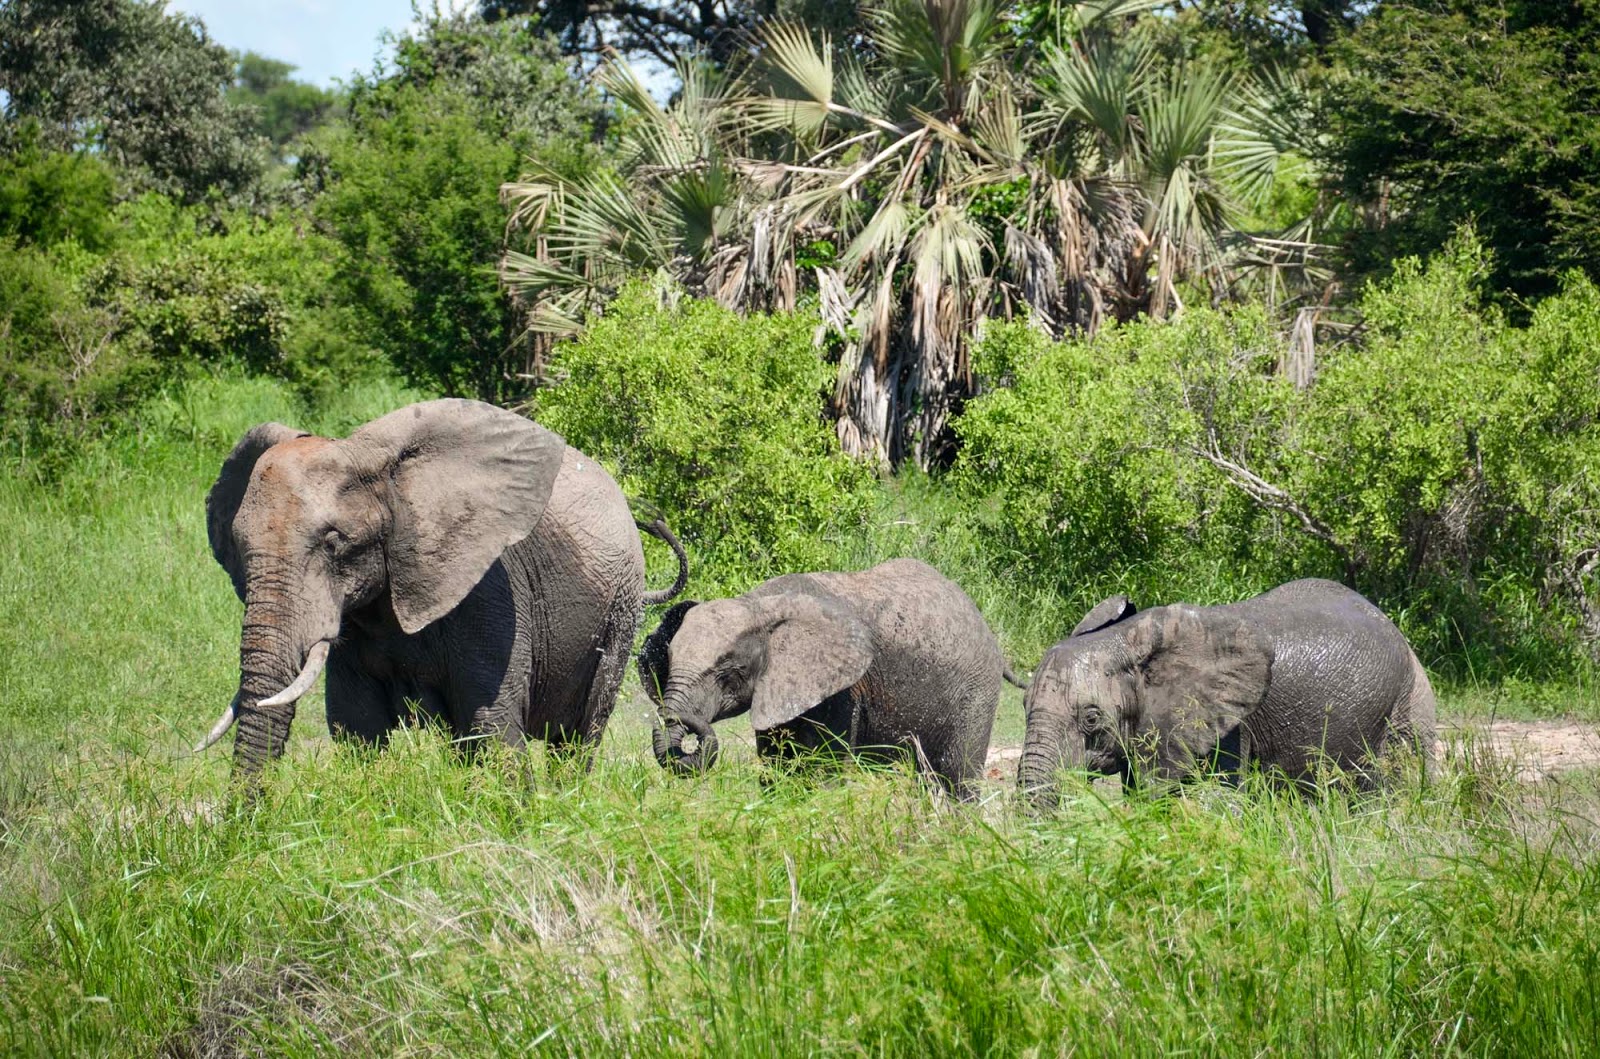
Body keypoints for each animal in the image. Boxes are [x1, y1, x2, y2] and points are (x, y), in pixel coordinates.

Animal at [195, 398, 688, 780]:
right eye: (238, 546)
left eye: (335, 542)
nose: (241, 826)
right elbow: (357, 726)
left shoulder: (494, 594)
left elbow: (491, 724)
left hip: (620, 611)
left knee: (579, 731)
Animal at [637, 558, 1010, 798]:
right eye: (669, 658)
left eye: (729, 671)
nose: (669, 720)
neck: (760, 605)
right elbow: (775, 765)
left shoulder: (844, 690)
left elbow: (822, 769)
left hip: (977, 692)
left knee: (957, 781)